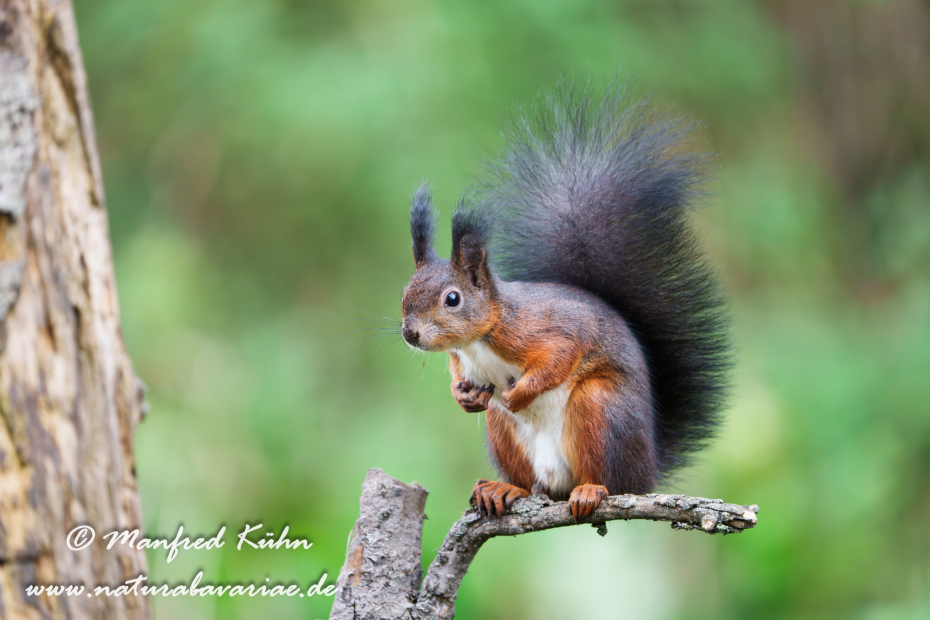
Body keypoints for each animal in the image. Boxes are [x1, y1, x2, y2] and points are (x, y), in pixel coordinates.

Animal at [400, 82, 730, 522]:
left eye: (452, 299)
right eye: (404, 292)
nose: (410, 334)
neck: (479, 340)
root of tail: (650, 470)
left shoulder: (545, 330)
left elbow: (558, 358)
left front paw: (518, 395)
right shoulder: (462, 360)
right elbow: (458, 377)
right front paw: (461, 395)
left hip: (599, 409)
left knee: (612, 480)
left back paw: (592, 490)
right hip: (504, 433)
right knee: (527, 479)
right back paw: (505, 489)